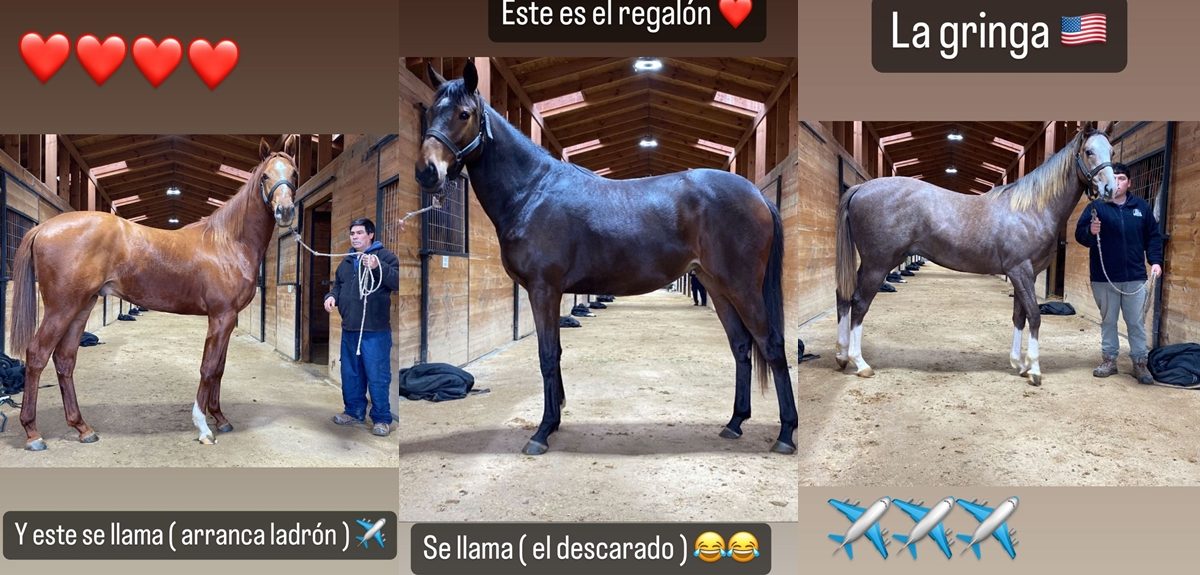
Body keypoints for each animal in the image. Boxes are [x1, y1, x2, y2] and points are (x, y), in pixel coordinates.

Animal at [8, 137, 298, 451]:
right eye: (265, 176)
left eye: (294, 174)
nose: (285, 211)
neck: (227, 242)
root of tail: (45, 228)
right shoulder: (221, 316)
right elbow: (208, 368)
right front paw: (203, 427)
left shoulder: (228, 319)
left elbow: (219, 369)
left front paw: (220, 418)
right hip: (61, 308)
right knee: (37, 355)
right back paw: (33, 433)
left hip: (82, 306)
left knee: (64, 359)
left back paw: (83, 428)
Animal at [414, 60, 798, 456]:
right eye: (430, 111)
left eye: (464, 113)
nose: (427, 171)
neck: (532, 191)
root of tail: (757, 195)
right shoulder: (551, 292)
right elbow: (556, 352)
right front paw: (556, 419)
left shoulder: (543, 289)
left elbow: (547, 355)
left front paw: (542, 431)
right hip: (717, 286)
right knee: (741, 346)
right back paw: (735, 422)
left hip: (742, 287)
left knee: (771, 345)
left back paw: (785, 434)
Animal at [834, 122, 1118, 386]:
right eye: (1089, 151)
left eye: (1112, 151)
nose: (1110, 189)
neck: (1031, 209)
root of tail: (860, 189)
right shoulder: (1021, 271)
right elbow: (1035, 316)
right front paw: (1034, 370)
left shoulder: (1023, 275)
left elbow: (1019, 316)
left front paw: (1019, 364)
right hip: (878, 264)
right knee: (859, 303)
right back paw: (860, 363)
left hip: (871, 263)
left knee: (844, 297)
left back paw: (842, 356)